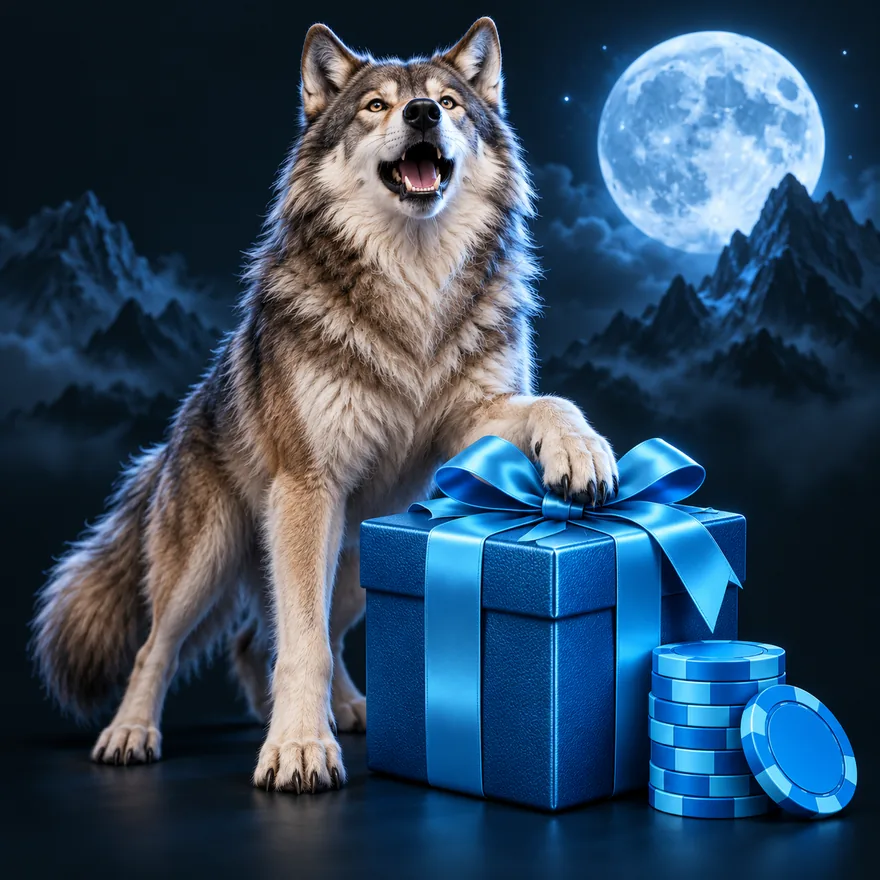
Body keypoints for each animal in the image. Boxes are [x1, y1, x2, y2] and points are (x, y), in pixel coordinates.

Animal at [31, 17, 618, 794]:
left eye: (448, 102)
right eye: (375, 105)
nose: (421, 115)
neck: (413, 289)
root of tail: (178, 425)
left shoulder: (470, 424)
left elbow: (551, 402)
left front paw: (581, 450)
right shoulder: (309, 486)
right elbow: (300, 644)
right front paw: (300, 749)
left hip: (354, 567)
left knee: (273, 640)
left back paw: (351, 709)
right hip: (210, 560)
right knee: (169, 645)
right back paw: (132, 732)